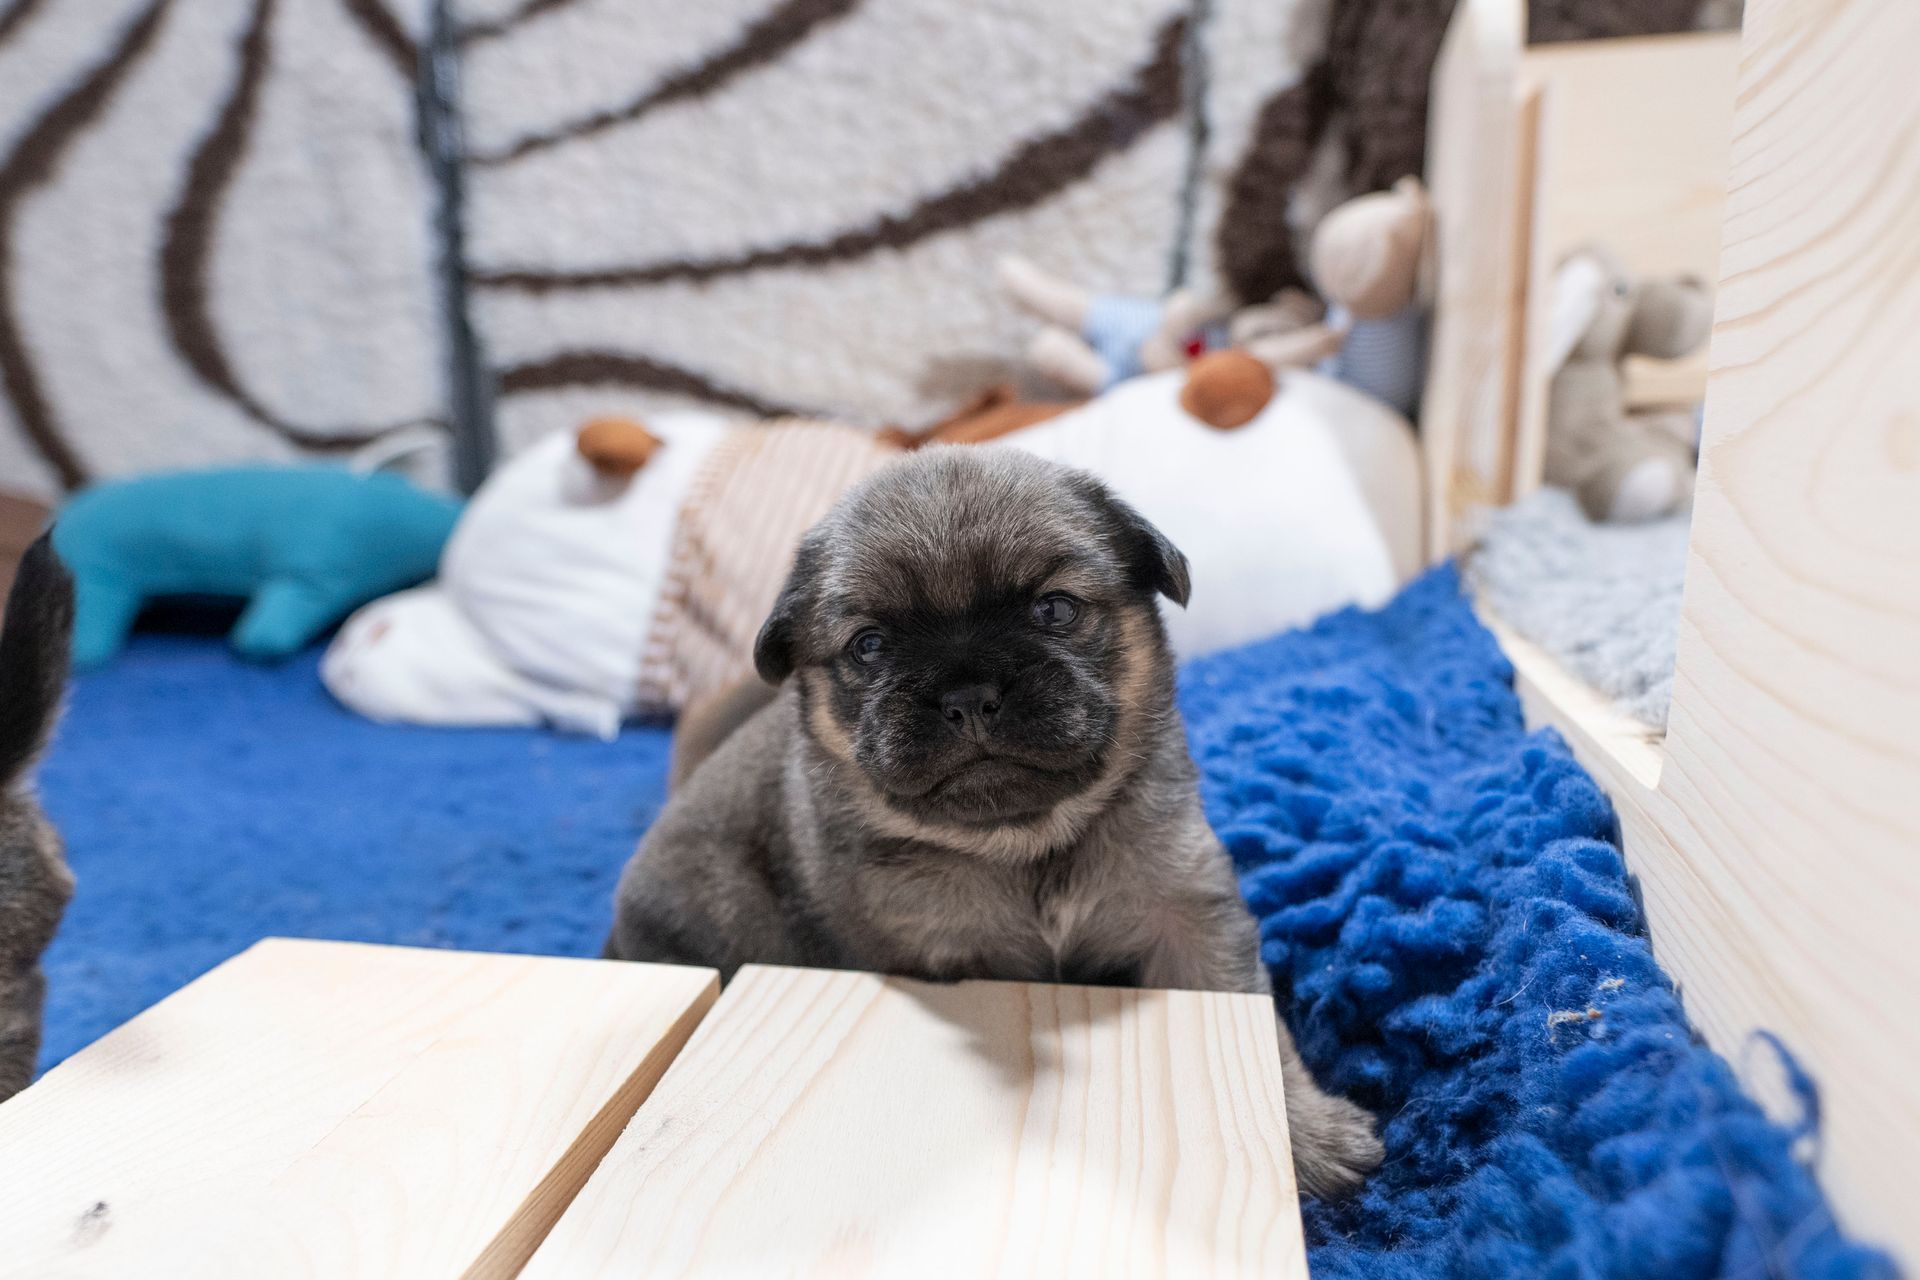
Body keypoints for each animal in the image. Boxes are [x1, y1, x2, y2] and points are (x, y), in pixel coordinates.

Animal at [607, 447, 1382, 1196]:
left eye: (1055, 611)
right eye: (869, 646)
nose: (968, 693)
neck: (1025, 848)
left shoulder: (1189, 922)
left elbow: (1257, 1033)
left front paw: (1304, 1134)